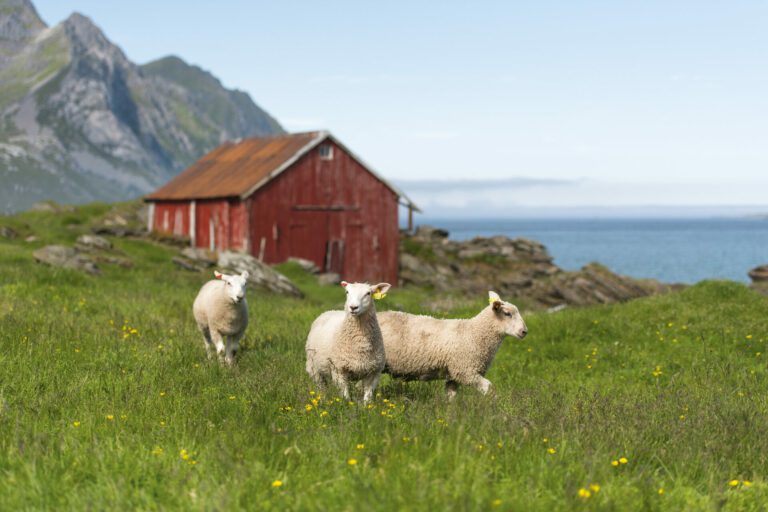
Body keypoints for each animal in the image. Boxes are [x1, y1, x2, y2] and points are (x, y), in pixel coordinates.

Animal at [378, 290, 528, 398]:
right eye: (507, 313)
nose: (524, 331)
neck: (475, 333)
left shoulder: (454, 375)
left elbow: (451, 397)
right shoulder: (466, 371)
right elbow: (490, 389)